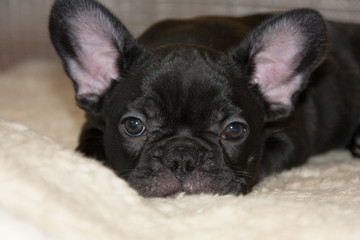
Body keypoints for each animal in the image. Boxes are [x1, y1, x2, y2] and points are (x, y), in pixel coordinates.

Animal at [48, 0, 360, 197]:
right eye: (134, 126)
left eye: (234, 130)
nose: (182, 158)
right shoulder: (92, 123)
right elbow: (89, 150)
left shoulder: (290, 137)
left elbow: (261, 162)